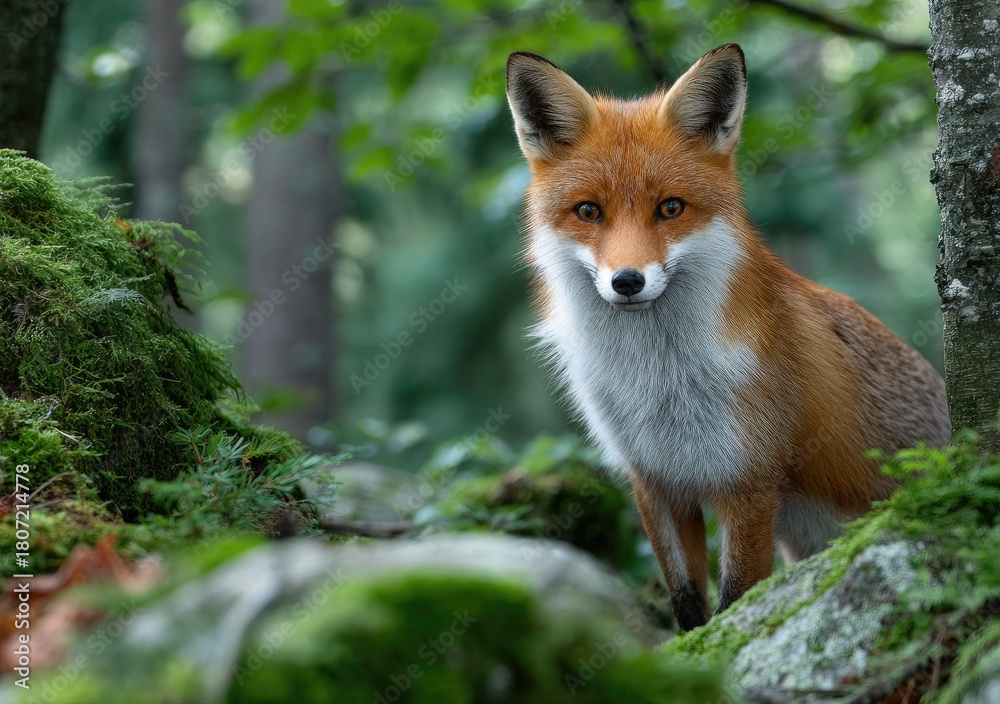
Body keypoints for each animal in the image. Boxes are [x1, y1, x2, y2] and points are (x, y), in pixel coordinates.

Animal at [505, 43, 950, 631]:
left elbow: (735, 597)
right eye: (588, 211)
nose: (627, 281)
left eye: (670, 207)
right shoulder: (654, 480)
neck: (658, 382)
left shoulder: (749, 481)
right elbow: (689, 603)